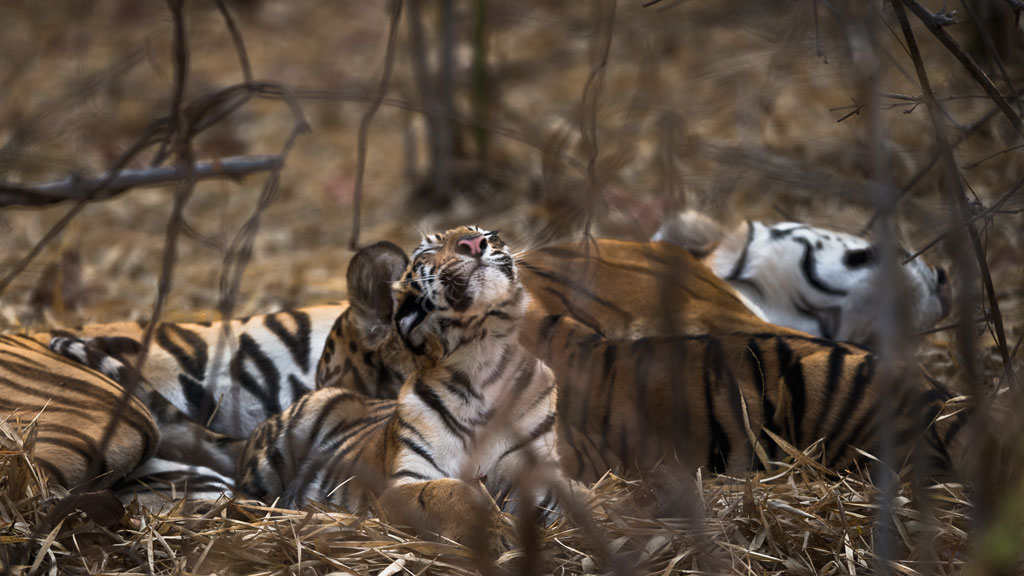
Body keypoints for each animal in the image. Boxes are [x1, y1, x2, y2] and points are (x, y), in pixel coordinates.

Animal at [237, 225, 569, 541]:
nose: (476, 242)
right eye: (429, 250)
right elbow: (449, 492)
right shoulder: (407, 480)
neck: (482, 361)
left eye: (491, 235)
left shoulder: (538, 473)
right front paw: (496, 535)